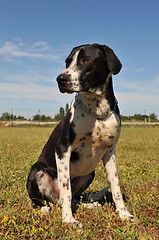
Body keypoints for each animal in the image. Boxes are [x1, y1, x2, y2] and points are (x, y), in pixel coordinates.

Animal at [26, 43, 134, 227]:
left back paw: (90, 205)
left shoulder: (110, 152)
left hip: (90, 172)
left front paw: (124, 214)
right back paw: (45, 210)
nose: (60, 79)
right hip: (37, 169)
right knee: (48, 201)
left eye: (85, 60)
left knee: (74, 198)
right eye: (67, 62)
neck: (98, 112)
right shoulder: (63, 150)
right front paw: (69, 220)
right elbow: (66, 190)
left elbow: (116, 186)